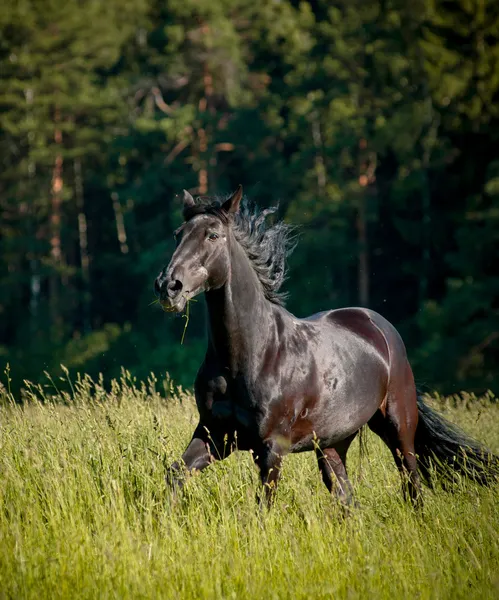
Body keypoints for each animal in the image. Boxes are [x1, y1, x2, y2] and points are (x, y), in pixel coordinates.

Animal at [154, 188, 498, 506]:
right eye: (177, 234)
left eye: (212, 235)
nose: (169, 286)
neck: (249, 356)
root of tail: (380, 328)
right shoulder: (214, 434)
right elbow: (174, 474)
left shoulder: (272, 447)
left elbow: (263, 505)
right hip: (333, 443)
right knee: (347, 497)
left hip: (399, 428)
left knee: (411, 485)